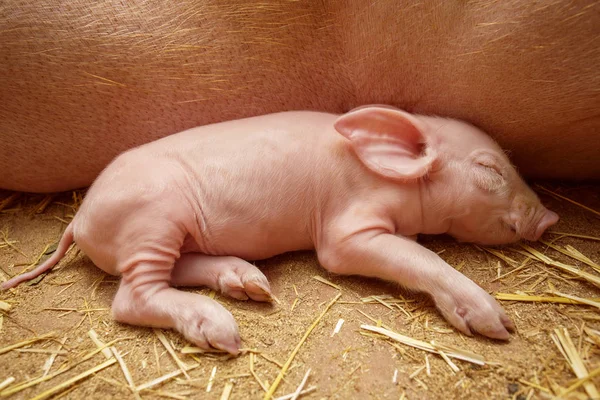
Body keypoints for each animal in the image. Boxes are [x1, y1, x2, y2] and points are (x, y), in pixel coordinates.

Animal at [2, 106, 560, 354]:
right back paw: (223, 332)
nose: (549, 218)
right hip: (153, 218)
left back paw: (250, 284)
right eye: (489, 169)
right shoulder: (345, 231)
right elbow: (416, 256)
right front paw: (499, 326)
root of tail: (78, 220)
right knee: (131, 296)